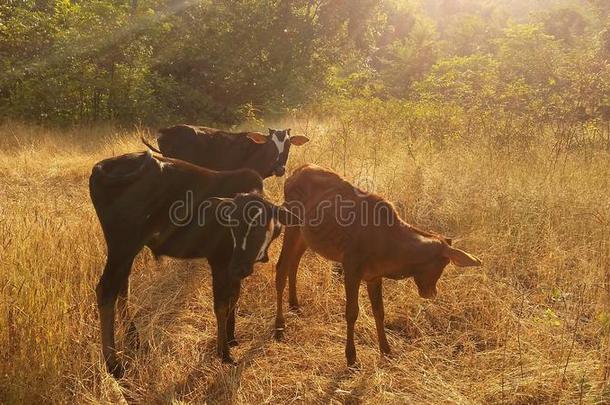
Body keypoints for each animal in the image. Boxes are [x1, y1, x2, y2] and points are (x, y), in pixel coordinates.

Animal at [89, 150, 296, 378]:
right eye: (232, 226)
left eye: (259, 226)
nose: (239, 266)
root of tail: (103, 166)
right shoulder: (220, 262)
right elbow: (221, 305)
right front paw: (223, 352)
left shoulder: (233, 269)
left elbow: (234, 298)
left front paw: (231, 338)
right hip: (122, 246)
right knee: (106, 291)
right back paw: (114, 364)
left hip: (128, 250)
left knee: (122, 286)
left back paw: (133, 337)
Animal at [274, 164, 482, 366]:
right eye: (442, 263)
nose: (430, 292)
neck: (391, 246)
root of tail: (294, 174)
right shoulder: (351, 268)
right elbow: (352, 312)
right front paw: (351, 357)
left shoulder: (374, 276)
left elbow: (379, 312)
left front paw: (386, 350)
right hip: (291, 225)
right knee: (281, 268)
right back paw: (279, 326)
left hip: (304, 235)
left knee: (294, 264)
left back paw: (294, 304)